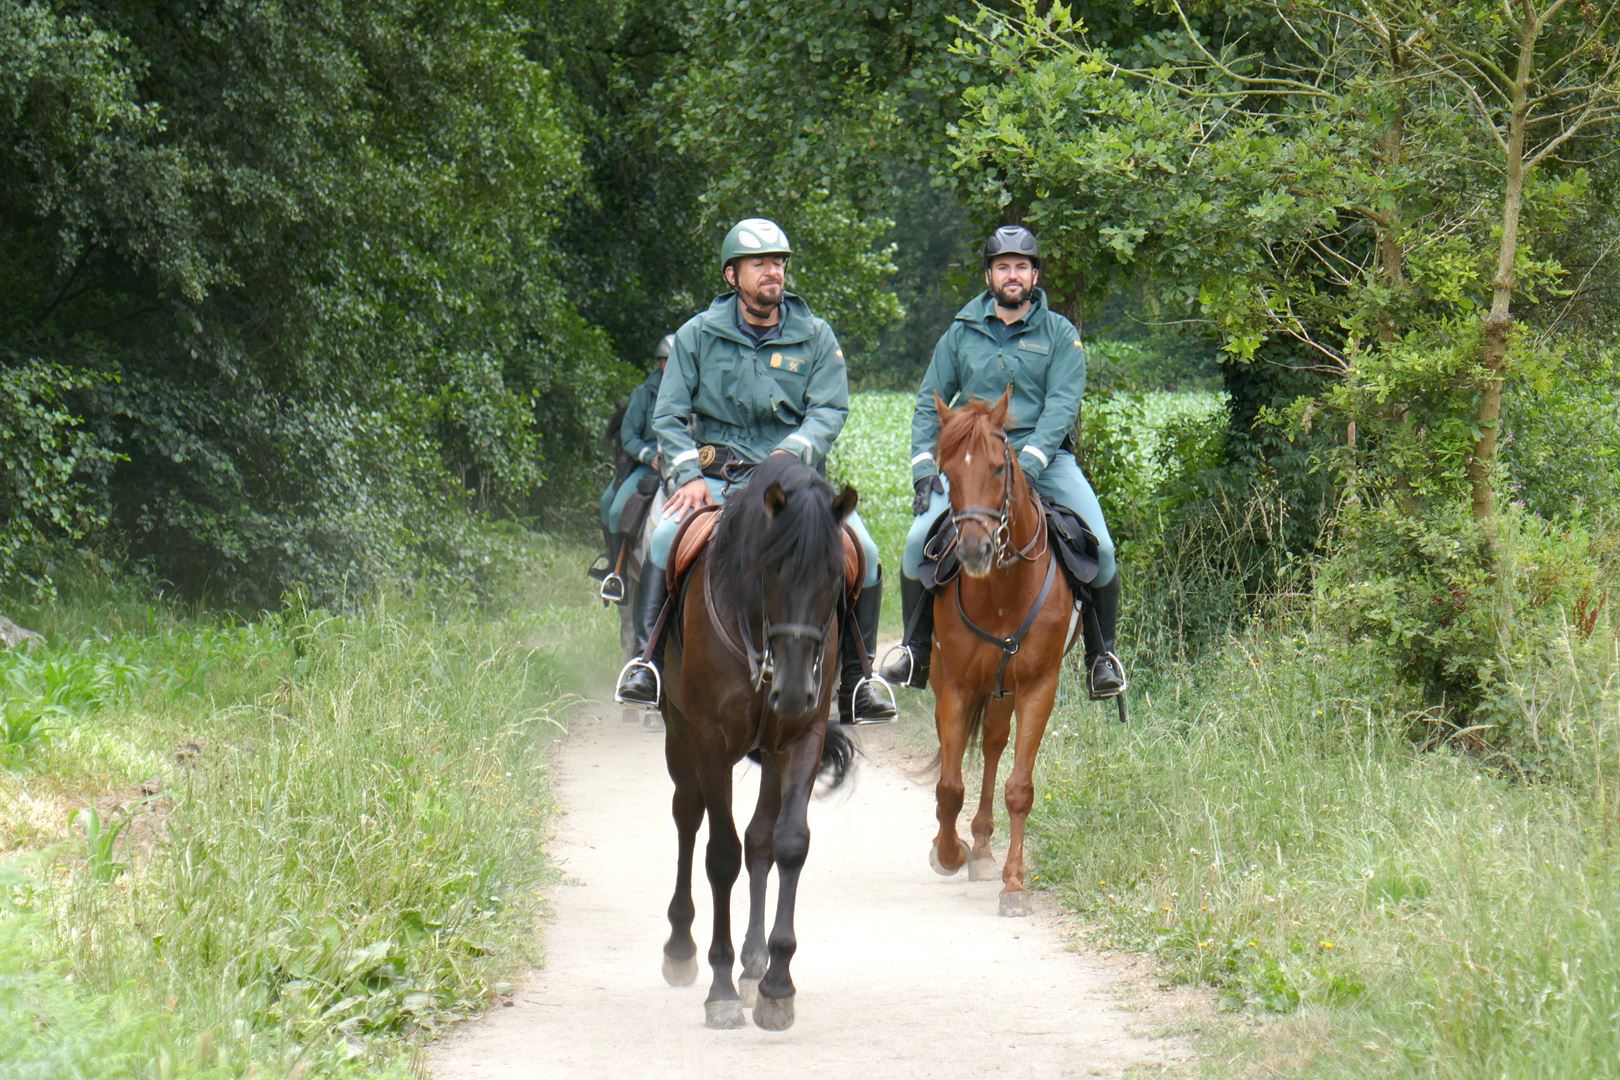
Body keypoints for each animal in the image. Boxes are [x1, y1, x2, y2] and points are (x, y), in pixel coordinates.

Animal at [657, 453, 861, 1029]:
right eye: (772, 570)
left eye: (835, 576)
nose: (793, 689)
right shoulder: (709, 741)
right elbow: (720, 853)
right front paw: (721, 988)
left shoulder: (800, 739)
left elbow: (787, 843)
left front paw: (775, 983)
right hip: (679, 736)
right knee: (689, 817)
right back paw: (681, 947)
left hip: (772, 754)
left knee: (759, 840)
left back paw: (753, 964)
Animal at [926, 393, 1075, 919]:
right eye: (946, 471)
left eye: (997, 468)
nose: (973, 549)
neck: (1004, 593)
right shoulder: (955, 685)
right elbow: (950, 786)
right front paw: (948, 853)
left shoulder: (1037, 688)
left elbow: (1019, 788)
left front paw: (1013, 884)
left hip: (1004, 690)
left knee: (993, 744)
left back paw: (986, 848)